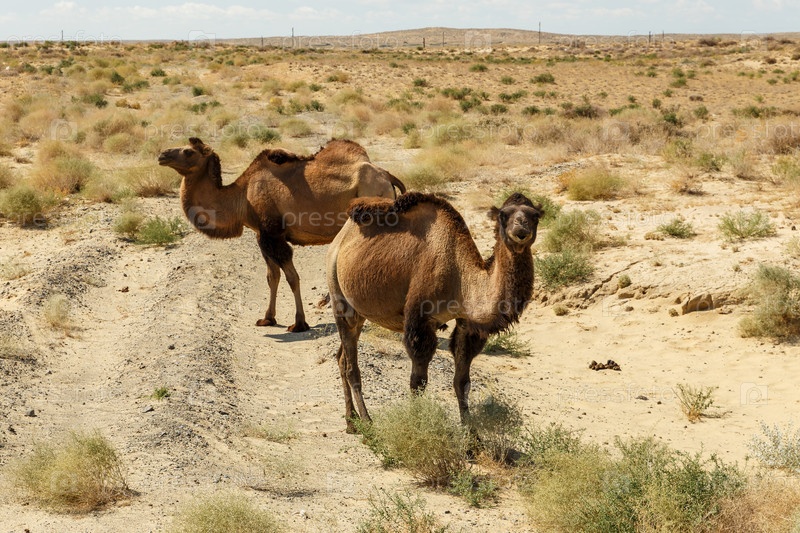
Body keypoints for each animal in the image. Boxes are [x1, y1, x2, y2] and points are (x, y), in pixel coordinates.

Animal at [158, 137, 406, 332]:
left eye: (188, 151)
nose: (162, 154)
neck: (242, 196)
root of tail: (387, 176)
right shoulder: (262, 235)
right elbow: (272, 276)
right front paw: (267, 318)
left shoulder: (273, 233)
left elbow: (292, 277)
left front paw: (299, 323)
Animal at [326, 192, 542, 432]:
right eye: (503, 215)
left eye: (536, 216)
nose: (521, 229)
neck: (460, 277)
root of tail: (340, 238)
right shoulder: (420, 320)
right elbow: (418, 382)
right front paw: (416, 426)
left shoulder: (466, 323)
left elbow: (462, 382)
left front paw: (472, 436)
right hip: (338, 293)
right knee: (352, 366)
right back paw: (366, 422)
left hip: (359, 310)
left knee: (342, 358)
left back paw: (351, 422)